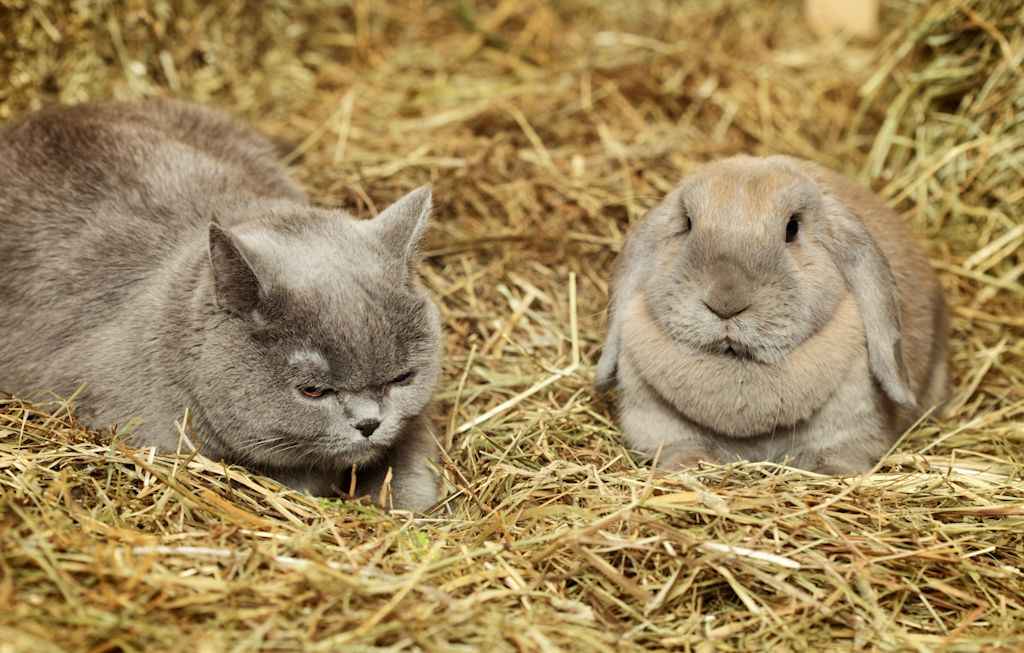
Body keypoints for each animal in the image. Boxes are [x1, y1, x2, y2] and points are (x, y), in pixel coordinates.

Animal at [595, 155, 949, 473]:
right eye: (687, 224)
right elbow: (681, 448)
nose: (725, 302)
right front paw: (684, 469)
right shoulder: (655, 422)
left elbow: (838, 456)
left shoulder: (852, 427)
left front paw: (830, 473)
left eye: (792, 228)